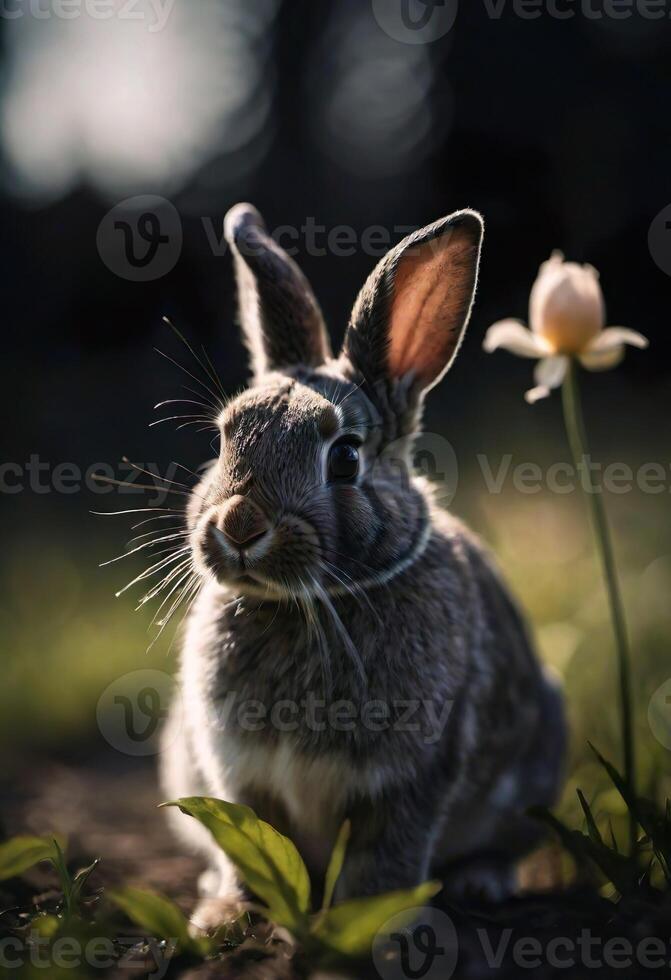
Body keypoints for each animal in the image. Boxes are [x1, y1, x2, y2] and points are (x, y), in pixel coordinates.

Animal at [160, 205, 564, 928]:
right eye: (225, 436)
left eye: (345, 457)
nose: (239, 527)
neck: (306, 604)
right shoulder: (239, 778)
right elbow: (247, 848)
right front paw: (226, 915)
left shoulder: (407, 781)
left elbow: (386, 861)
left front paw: (375, 926)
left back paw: (481, 882)